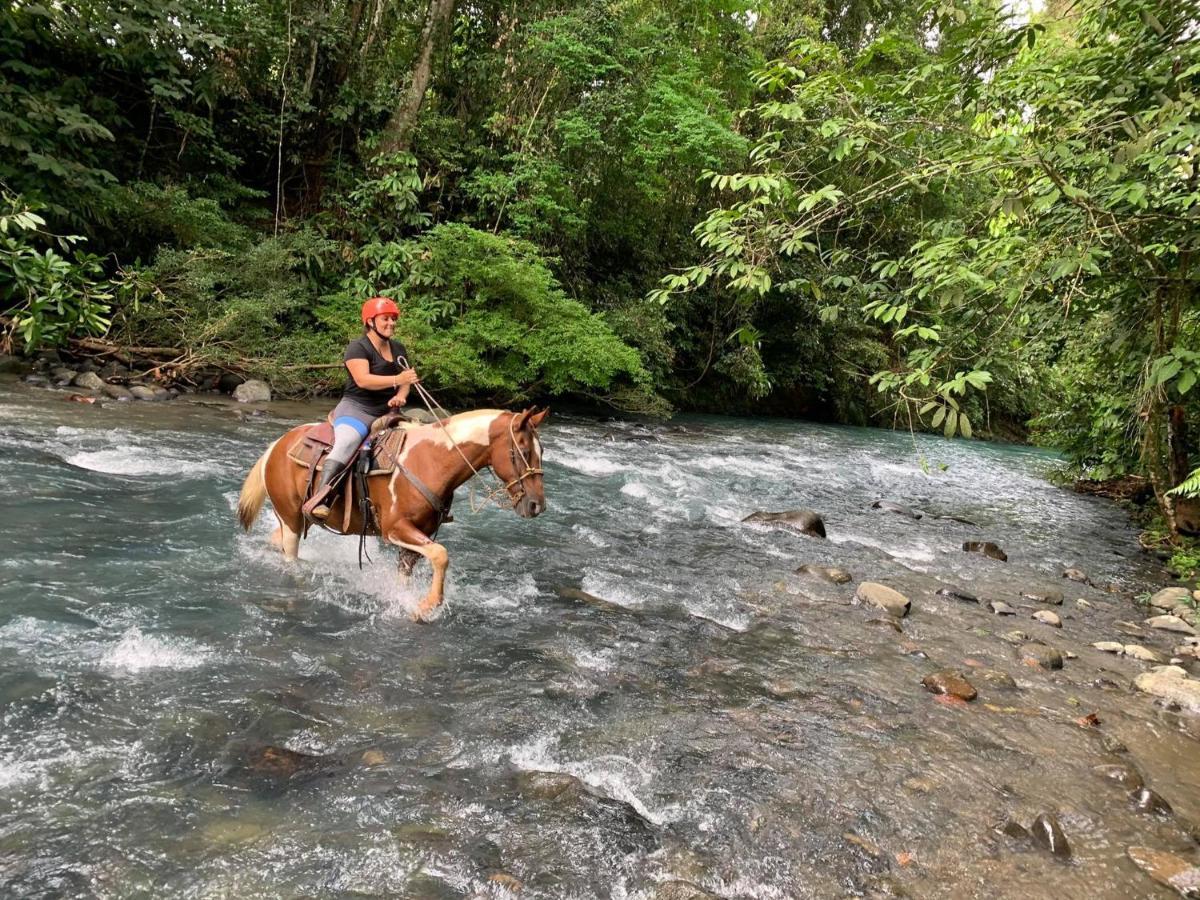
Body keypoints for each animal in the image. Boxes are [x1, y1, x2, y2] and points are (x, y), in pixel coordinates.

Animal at [232, 408, 549, 619]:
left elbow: (410, 572)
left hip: (294, 518)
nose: (537, 505)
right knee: (290, 556)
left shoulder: (418, 535)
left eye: (542, 450)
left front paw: (407, 600)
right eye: (522, 450)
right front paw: (427, 606)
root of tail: (277, 445)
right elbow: (441, 555)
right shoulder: (395, 529)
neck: (431, 461)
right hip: (291, 520)